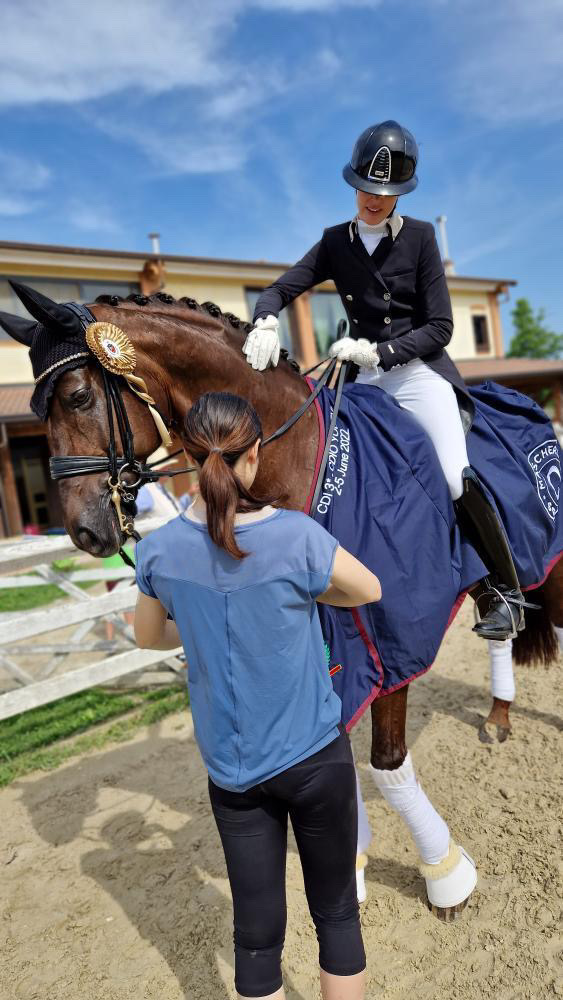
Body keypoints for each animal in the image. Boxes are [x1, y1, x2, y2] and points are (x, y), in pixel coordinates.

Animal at [5, 284, 563, 920]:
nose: (84, 531)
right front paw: (351, 866)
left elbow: (387, 763)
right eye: (37, 410)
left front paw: (446, 877)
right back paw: (497, 715)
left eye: (76, 396)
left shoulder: (386, 632)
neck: (293, 455)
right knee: (505, 634)